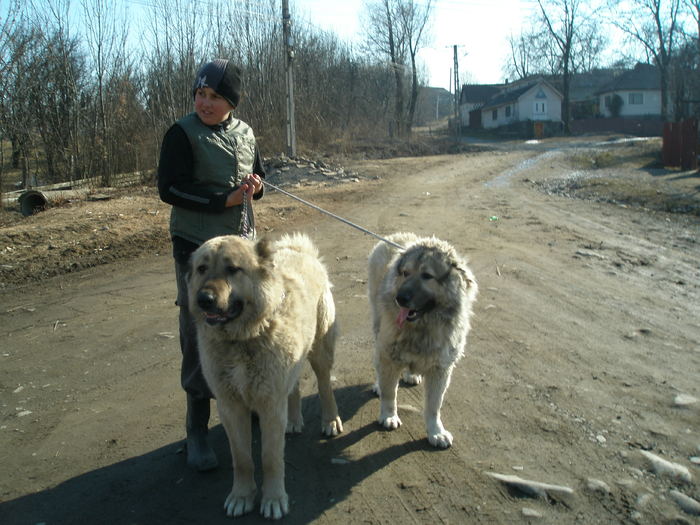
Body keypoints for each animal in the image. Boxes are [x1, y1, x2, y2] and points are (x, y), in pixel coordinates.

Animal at [187, 234, 344, 520]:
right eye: (202, 269)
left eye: (232, 269)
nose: (204, 299)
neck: (242, 338)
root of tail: (299, 249)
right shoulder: (231, 407)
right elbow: (242, 459)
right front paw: (242, 495)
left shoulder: (270, 406)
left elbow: (270, 459)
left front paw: (273, 499)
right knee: (293, 389)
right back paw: (293, 420)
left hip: (320, 351)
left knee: (325, 385)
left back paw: (330, 419)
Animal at [366, 232, 476, 446]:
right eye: (405, 273)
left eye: (427, 276)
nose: (400, 298)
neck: (423, 326)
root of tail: (396, 235)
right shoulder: (389, 356)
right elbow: (390, 392)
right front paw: (388, 416)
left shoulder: (441, 368)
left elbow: (434, 406)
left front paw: (436, 432)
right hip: (377, 326)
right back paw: (378, 384)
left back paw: (411, 374)